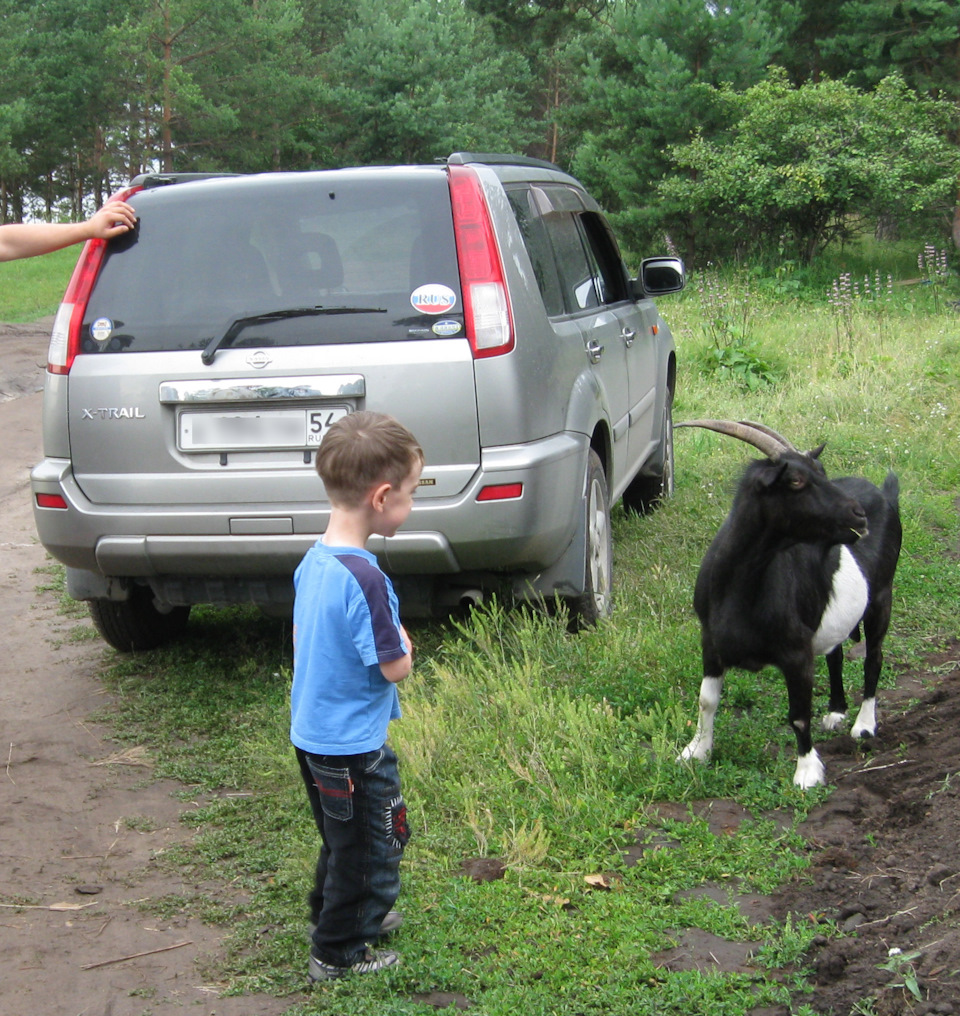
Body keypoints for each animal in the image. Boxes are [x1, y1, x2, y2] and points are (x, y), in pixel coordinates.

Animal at [674, 418, 898, 784]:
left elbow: (799, 715)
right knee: (835, 653)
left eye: (822, 471)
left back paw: (863, 725)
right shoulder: (710, 641)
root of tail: (883, 493)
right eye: (796, 480)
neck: (738, 589)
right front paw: (695, 752)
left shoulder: (796, 652)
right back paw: (836, 711)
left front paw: (807, 772)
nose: (859, 516)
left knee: (874, 656)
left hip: (881, 596)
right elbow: (706, 700)